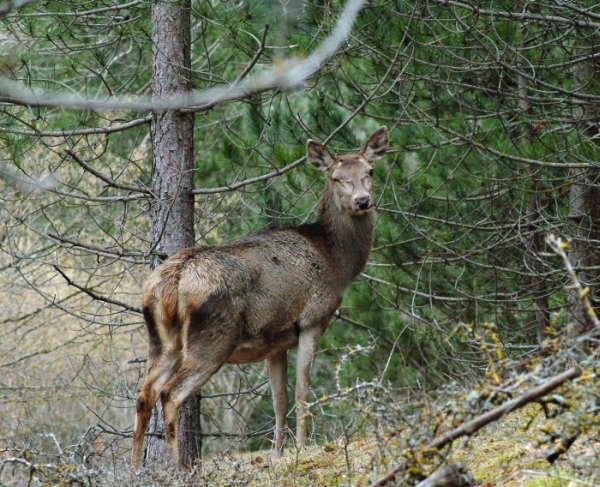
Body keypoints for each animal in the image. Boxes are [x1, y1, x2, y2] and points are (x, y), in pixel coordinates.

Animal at [131, 127, 390, 470]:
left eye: (369, 171)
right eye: (336, 177)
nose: (363, 201)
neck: (336, 259)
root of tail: (173, 279)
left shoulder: (275, 341)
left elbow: (279, 399)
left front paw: (278, 454)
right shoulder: (312, 319)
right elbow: (302, 392)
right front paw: (300, 450)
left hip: (160, 337)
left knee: (144, 395)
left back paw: (134, 470)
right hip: (212, 337)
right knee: (171, 394)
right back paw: (181, 469)